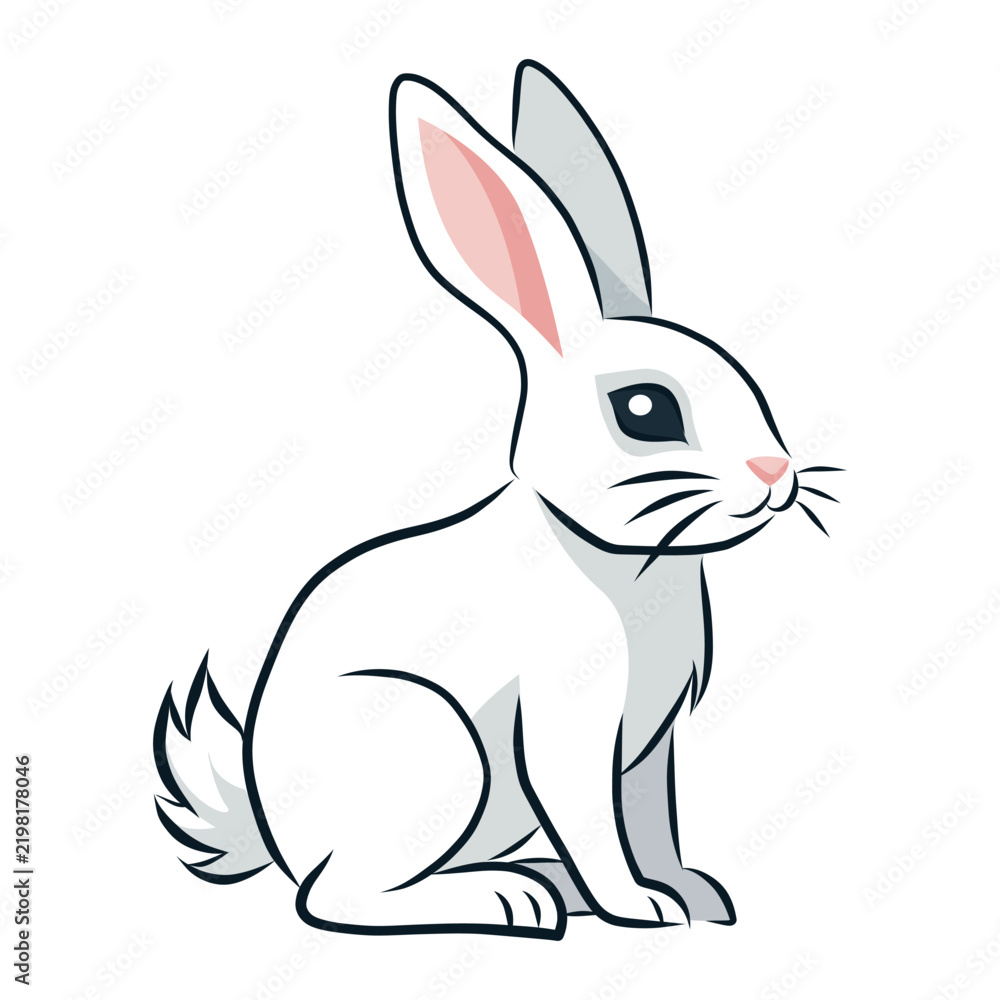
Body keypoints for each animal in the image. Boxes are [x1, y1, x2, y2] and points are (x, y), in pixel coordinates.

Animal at [153, 60, 839, 940]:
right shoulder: (566, 723)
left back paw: (542, 882)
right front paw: (642, 908)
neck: (614, 562)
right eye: (644, 410)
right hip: (434, 746)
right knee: (336, 898)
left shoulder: (650, 747)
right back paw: (514, 901)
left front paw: (692, 897)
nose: (774, 472)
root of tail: (275, 837)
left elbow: (651, 818)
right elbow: (594, 817)